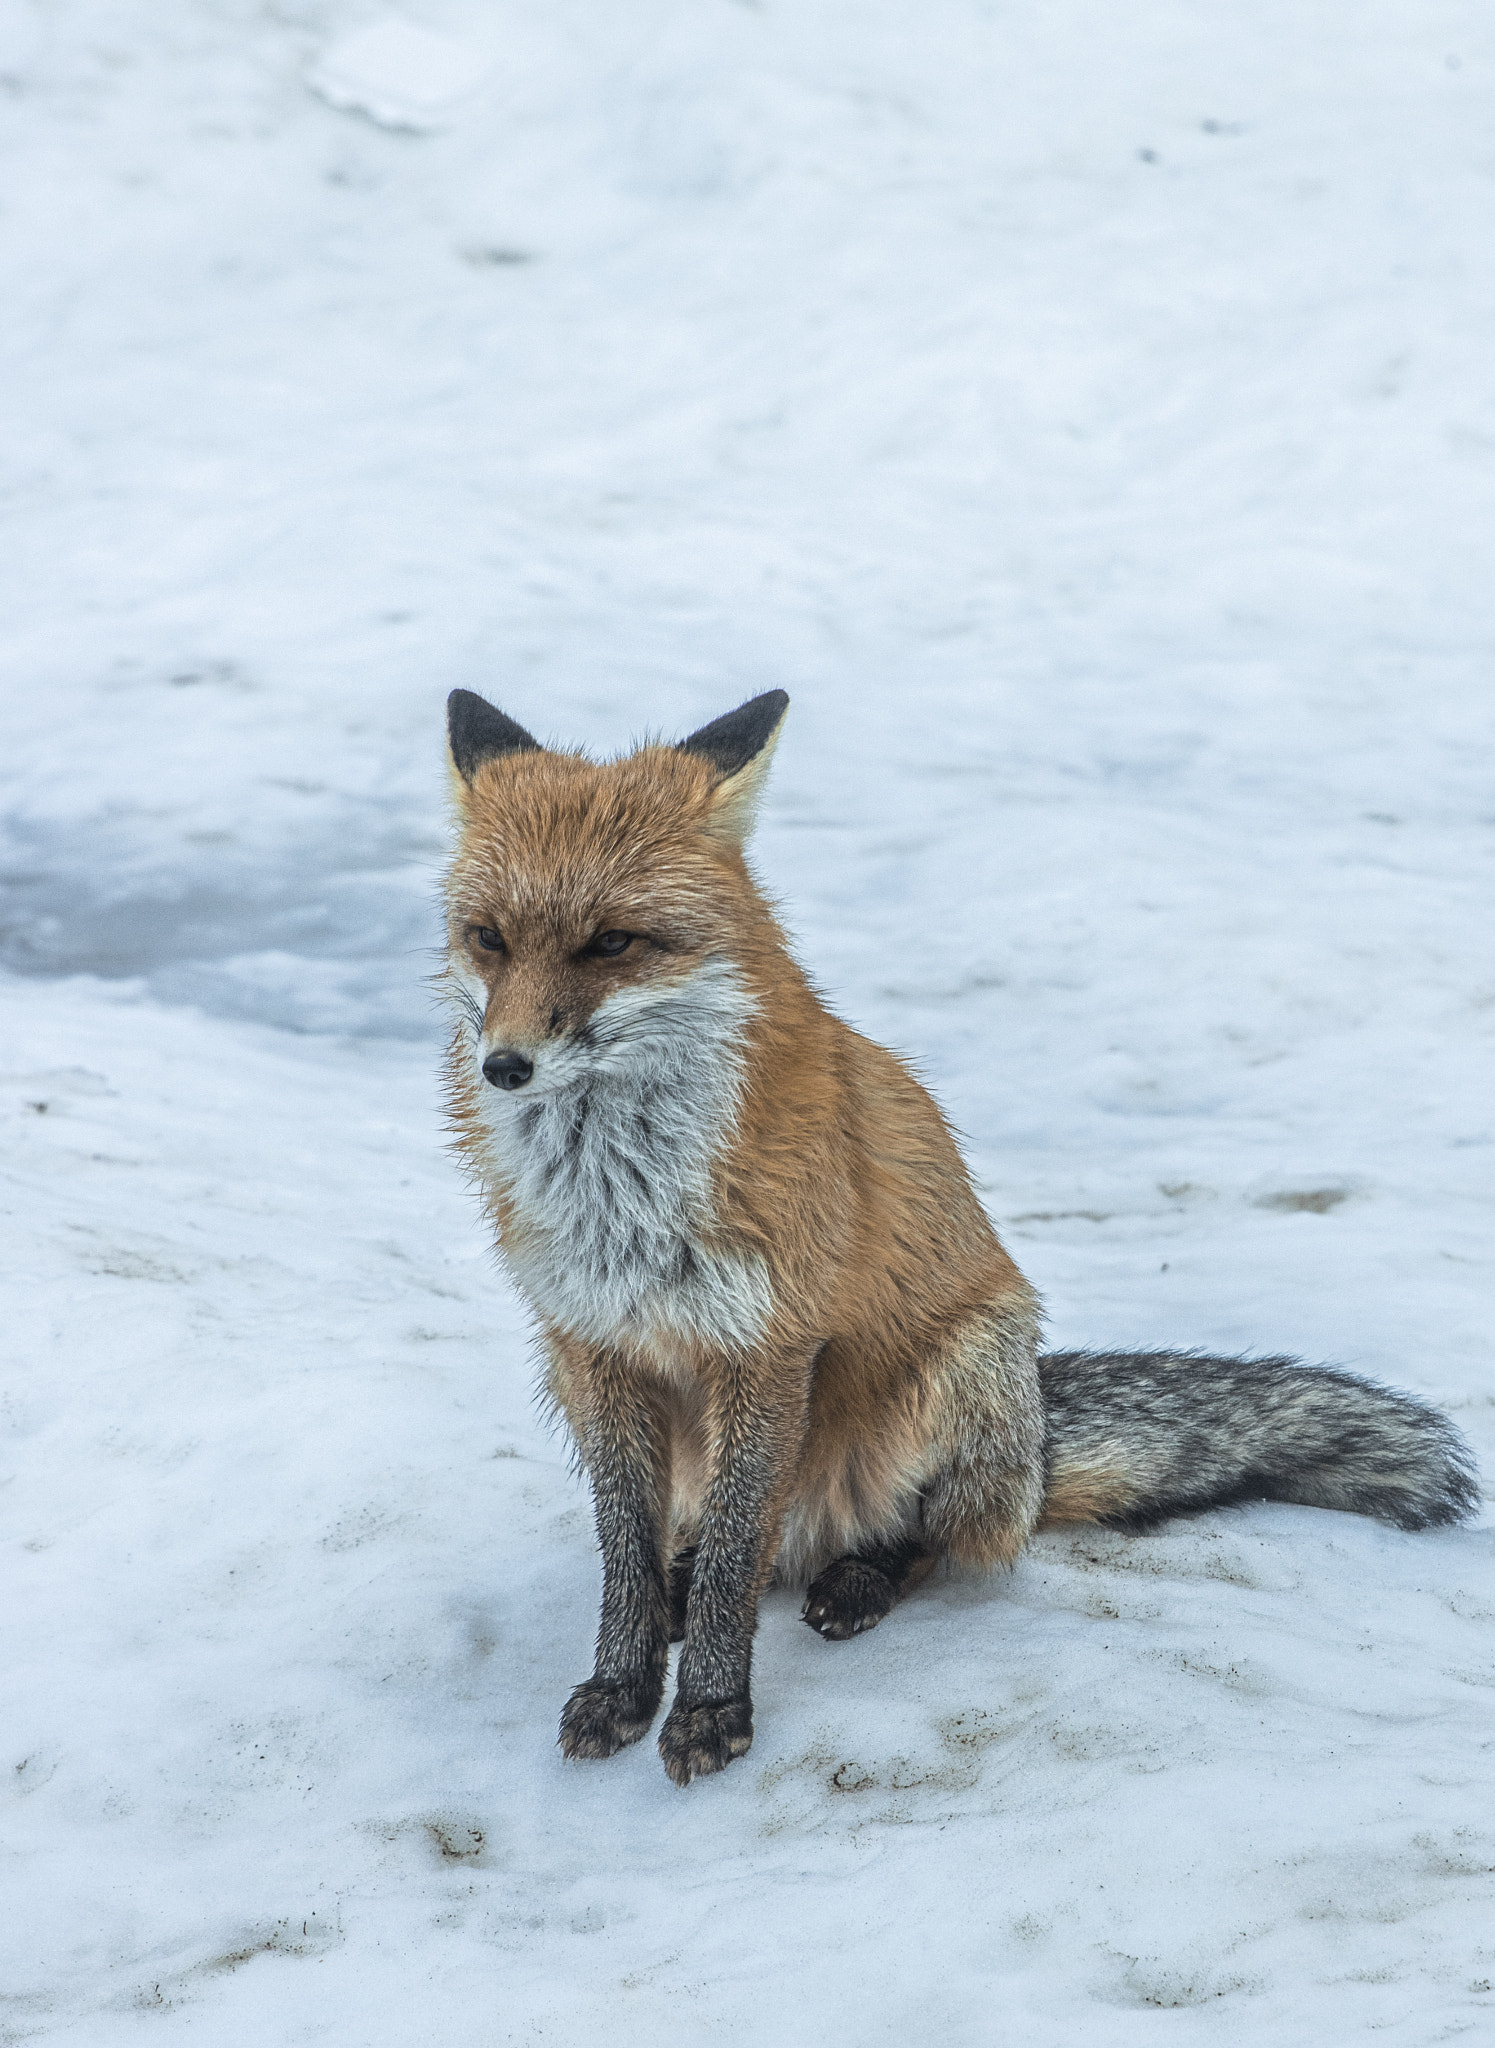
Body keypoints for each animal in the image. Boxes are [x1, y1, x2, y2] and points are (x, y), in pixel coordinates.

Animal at [440, 686, 1478, 1787]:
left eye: (612, 943)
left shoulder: (766, 1347)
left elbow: (730, 1561)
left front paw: (713, 1707)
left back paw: (856, 1580)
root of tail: (1037, 1448)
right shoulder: (594, 1345)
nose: (505, 1065)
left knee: (920, 1538)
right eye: (488, 939)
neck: (618, 1196)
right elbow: (628, 1554)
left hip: (957, 1373)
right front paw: (623, 1686)